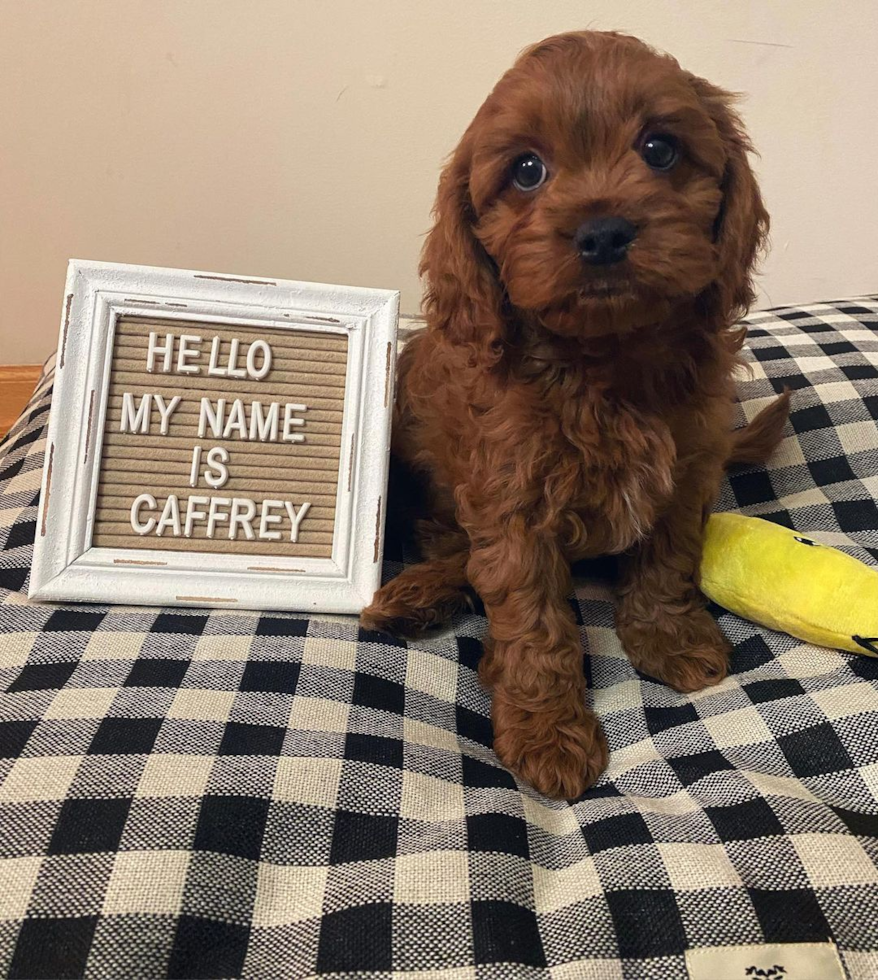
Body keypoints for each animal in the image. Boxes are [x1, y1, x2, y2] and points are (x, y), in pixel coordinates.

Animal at [362, 32, 792, 796]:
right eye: (527, 170)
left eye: (660, 149)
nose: (603, 233)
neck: (604, 361)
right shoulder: (511, 502)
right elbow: (532, 618)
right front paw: (548, 733)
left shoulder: (687, 472)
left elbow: (667, 559)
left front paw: (668, 637)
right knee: (454, 550)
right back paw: (416, 595)